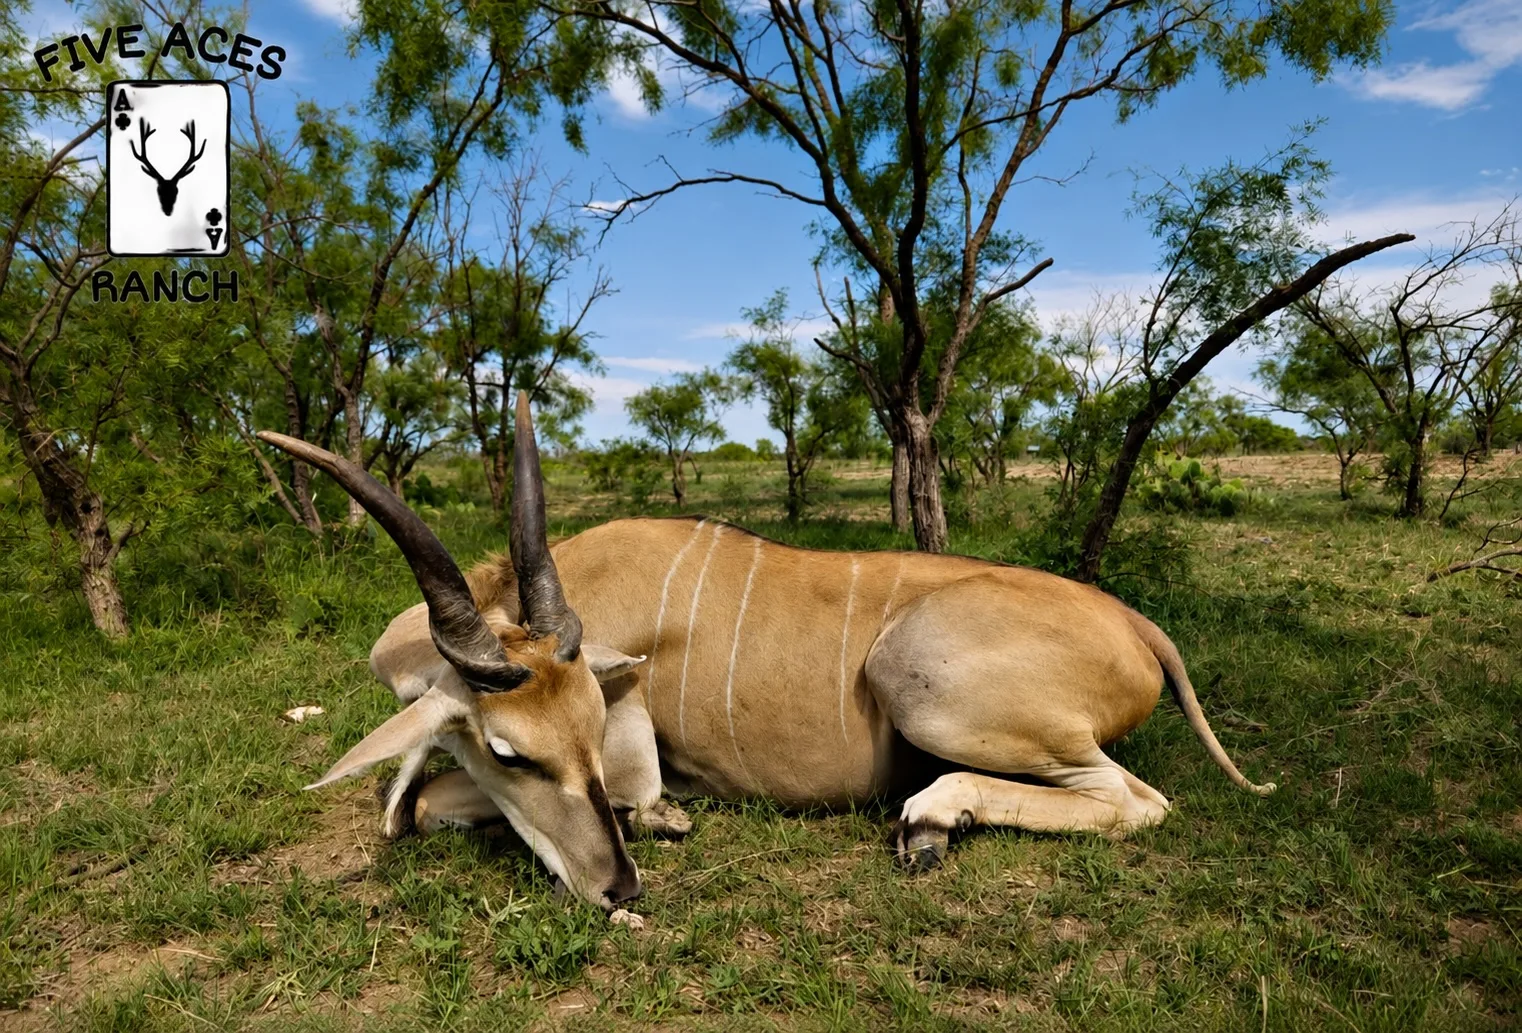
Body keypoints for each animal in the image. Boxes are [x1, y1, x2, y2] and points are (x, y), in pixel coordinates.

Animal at [259, 394, 1275, 912]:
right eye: (512, 750)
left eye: (590, 726)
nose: (618, 888)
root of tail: (1135, 624)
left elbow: (430, 801)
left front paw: (659, 819)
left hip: (920, 683)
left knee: (1136, 801)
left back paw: (931, 815)